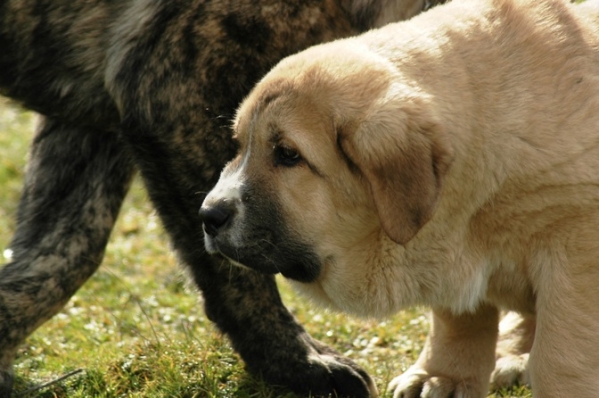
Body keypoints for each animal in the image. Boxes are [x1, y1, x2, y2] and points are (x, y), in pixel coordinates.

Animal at [200, 0, 599, 394]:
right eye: (239, 145)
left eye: (287, 154)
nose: (207, 215)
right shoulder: (448, 248)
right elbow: (460, 318)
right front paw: (443, 377)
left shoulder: (574, 248)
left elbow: (557, 354)